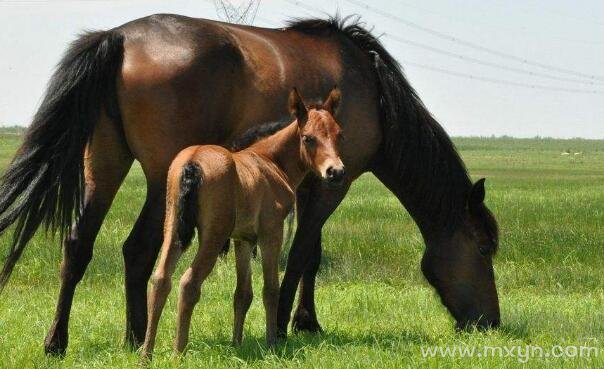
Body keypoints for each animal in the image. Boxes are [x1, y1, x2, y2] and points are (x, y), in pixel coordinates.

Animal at [141, 87, 344, 356]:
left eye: (339, 135)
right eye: (308, 138)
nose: (336, 172)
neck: (270, 161)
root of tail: (192, 162)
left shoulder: (243, 240)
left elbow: (242, 294)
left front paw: (236, 343)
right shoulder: (271, 233)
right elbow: (270, 289)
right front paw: (271, 344)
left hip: (173, 228)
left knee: (161, 279)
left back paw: (146, 354)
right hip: (213, 236)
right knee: (189, 283)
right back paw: (177, 353)